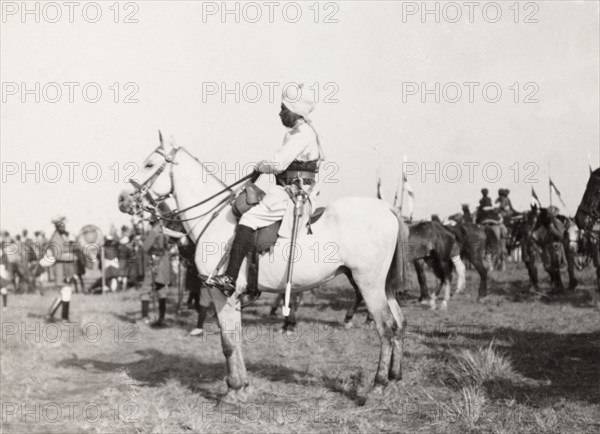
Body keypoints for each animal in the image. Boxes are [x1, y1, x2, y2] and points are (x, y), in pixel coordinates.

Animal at [117, 136, 408, 404]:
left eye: (149, 164)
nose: (122, 200)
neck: (213, 219)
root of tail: (388, 209)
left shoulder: (221, 293)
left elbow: (227, 342)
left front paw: (233, 390)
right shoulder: (233, 298)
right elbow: (235, 339)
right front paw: (242, 386)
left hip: (368, 284)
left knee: (386, 328)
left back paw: (379, 385)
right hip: (383, 286)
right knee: (399, 323)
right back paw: (395, 379)